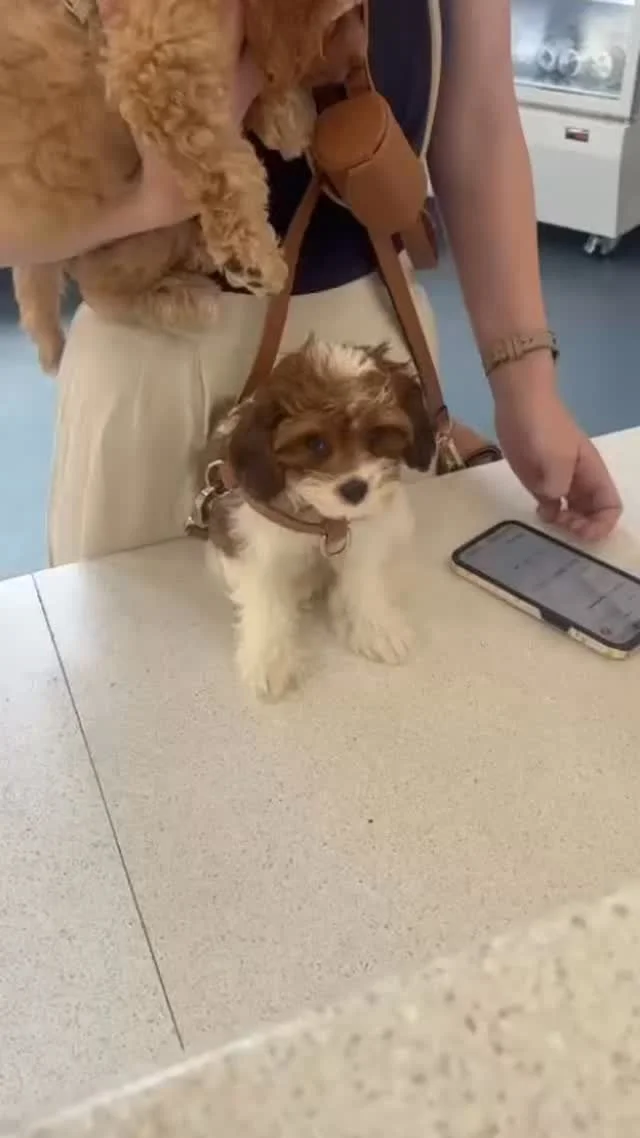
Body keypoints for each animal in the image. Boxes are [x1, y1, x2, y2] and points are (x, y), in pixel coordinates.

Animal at [5, 0, 363, 373]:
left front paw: (288, 116)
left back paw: (200, 256)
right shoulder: (157, 59)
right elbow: (217, 161)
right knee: (101, 293)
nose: (353, 62)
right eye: (339, 23)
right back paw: (186, 301)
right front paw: (253, 258)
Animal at [198, 338, 435, 699]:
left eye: (377, 435)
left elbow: (364, 578)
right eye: (315, 444)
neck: (320, 517)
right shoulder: (252, 541)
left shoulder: (363, 534)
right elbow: (265, 597)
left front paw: (375, 626)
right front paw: (270, 659)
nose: (355, 489)